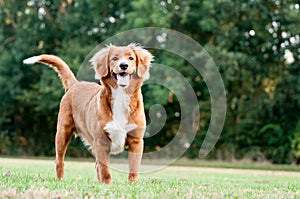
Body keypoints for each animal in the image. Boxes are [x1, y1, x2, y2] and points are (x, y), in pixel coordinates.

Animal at [23, 43, 154, 183]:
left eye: (131, 58)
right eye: (114, 58)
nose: (123, 65)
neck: (121, 96)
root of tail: (76, 84)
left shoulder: (136, 141)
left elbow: (133, 167)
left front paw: (132, 183)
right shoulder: (101, 141)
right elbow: (105, 169)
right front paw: (107, 184)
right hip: (62, 132)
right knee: (59, 161)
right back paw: (60, 179)